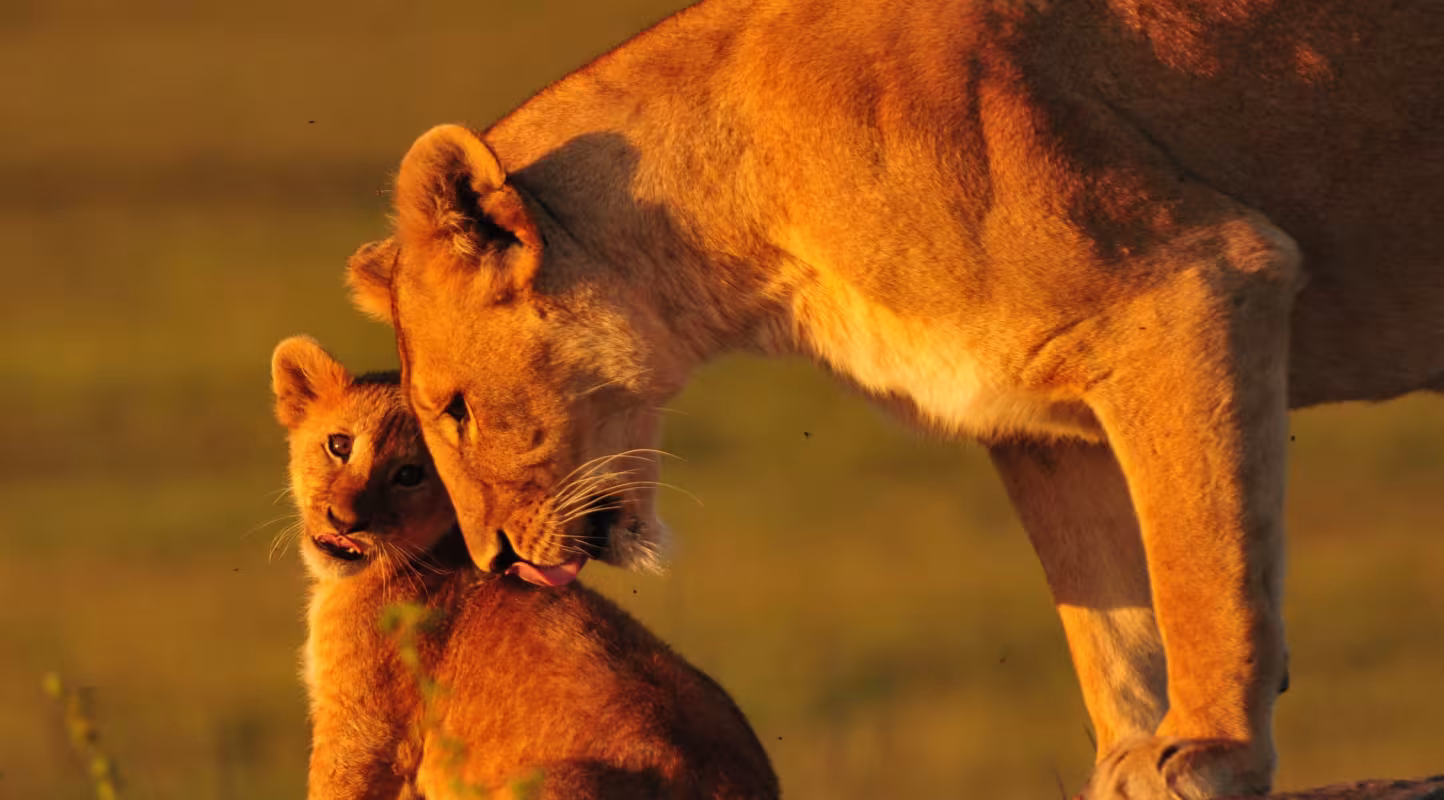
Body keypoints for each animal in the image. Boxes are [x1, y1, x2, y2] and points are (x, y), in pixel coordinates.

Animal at [340, 1, 1444, 797]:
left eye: (452, 410)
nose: (495, 564)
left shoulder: (1188, 283)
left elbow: (1201, 563)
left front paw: (1211, 750)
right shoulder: (1038, 415)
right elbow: (1112, 621)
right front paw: (1131, 758)